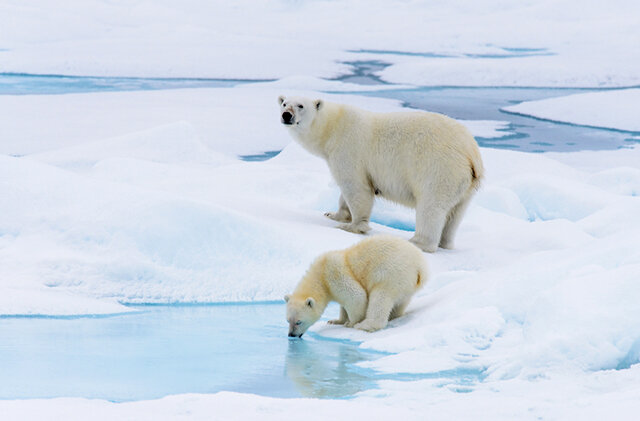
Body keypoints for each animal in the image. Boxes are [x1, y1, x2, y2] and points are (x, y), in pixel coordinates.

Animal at [278, 96, 482, 253]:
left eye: (300, 105)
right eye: (284, 103)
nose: (286, 115)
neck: (333, 126)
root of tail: (471, 154)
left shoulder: (349, 149)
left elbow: (356, 188)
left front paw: (351, 226)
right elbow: (345, 194)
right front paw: (333, 214)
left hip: (440, 169)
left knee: (431, 207)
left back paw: (417, 242)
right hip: (464, 185)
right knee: (455, 214)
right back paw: (445, 243)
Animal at [284, 235, 424, 336]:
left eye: (298, 322)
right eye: (287, 320)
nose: (291, 335)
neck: (320, 275)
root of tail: (420, 267)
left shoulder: (334, 273)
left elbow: (356, 296)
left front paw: (350, 323)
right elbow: (343, 304)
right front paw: (335, 321)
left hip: (390, 273)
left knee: (381, 298)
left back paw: (365, 325)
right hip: (405, 284)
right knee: (401, 302)